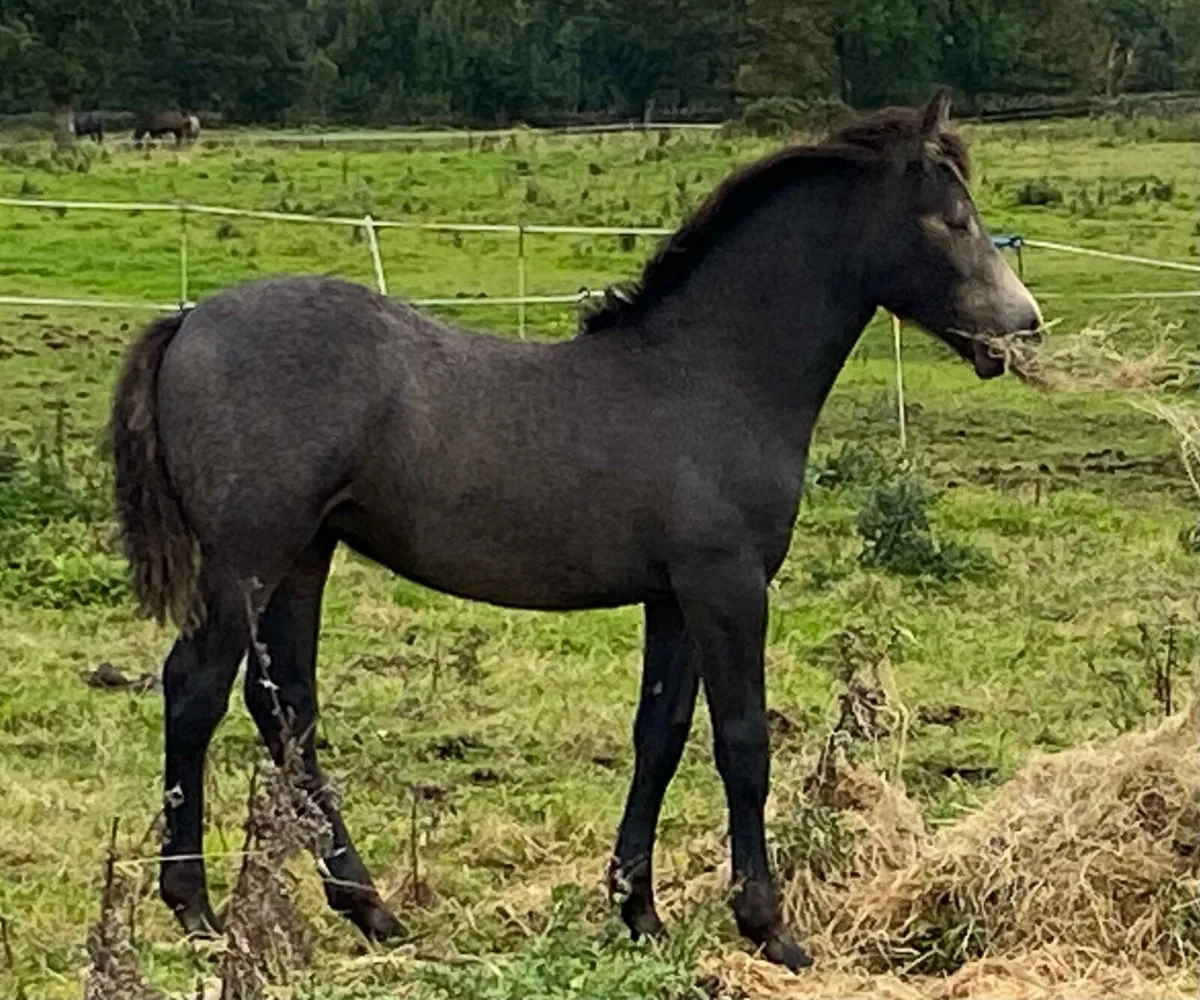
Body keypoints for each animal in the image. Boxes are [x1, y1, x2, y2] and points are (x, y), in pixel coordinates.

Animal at [108, 92, 1042, 970]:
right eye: (949, 218)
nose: (1022, 325)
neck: (710, 379)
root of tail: (188, 320)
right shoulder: (727, 585)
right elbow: (742, 742)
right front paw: (770, 927)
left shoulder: (673, 598)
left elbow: (659, 737)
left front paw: (640, 912)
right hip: (246, 559)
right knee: (195, 690)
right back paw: (197, 913)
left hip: (307, 555)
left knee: (286, 710)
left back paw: (371, 910)